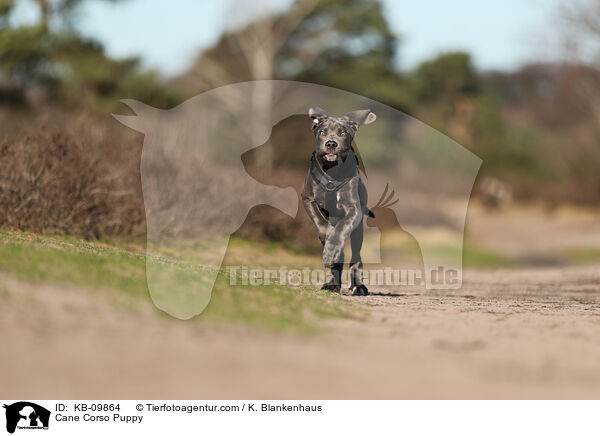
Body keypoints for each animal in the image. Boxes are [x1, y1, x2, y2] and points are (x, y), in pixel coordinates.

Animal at [302, 106, 378, 296]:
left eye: (343, 132)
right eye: (322, 131)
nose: (331, 143)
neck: (332, 172)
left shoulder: (354, 209)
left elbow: (342, 228)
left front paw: (332, 248)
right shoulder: (307, 199)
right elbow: (321, 224)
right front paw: (329, 243)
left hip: (359, 231)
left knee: (356, 258)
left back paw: (358, 286)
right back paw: (332, 283)